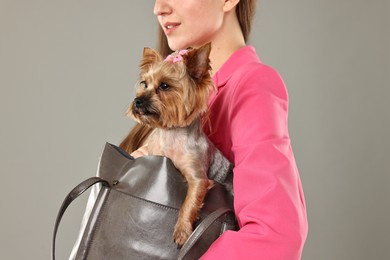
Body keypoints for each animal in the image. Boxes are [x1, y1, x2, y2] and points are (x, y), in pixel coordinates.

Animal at [120, 43, 221, 246]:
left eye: (165, 86)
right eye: (144, 84)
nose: (138, 100)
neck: (170, 133)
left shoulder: (198, 177)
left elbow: (189, 201)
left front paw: (182, 231)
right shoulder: (151, 152)